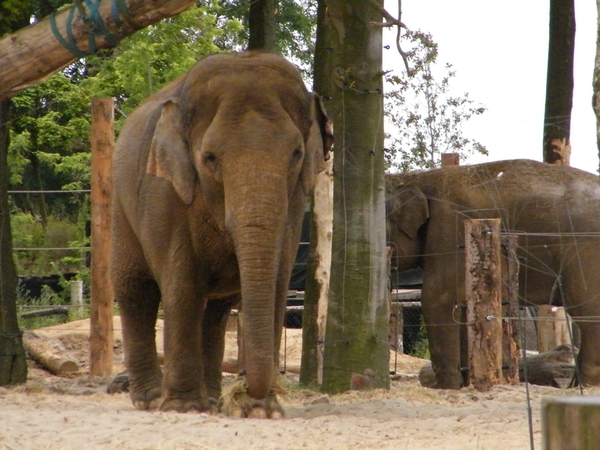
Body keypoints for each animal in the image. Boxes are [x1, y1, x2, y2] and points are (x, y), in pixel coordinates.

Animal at [111, 51, 333, 416]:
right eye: (209, 158)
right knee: (136, 290)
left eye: (297, 154)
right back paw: (151, 400)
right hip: (119, 205)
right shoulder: (165, 193)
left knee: (216, 311)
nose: (245, 388)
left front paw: (263, 410)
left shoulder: (295, 201)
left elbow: (277, 281)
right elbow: (181, 284)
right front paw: (183, 408)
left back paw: (212, 400)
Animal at [386, 159, 600, 389]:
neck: (415, 177)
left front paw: (447, 387)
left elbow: (438, 298)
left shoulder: (448, 228)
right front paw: (464, 384)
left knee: (588, 314)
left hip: (584, 250)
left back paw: (582, 385)